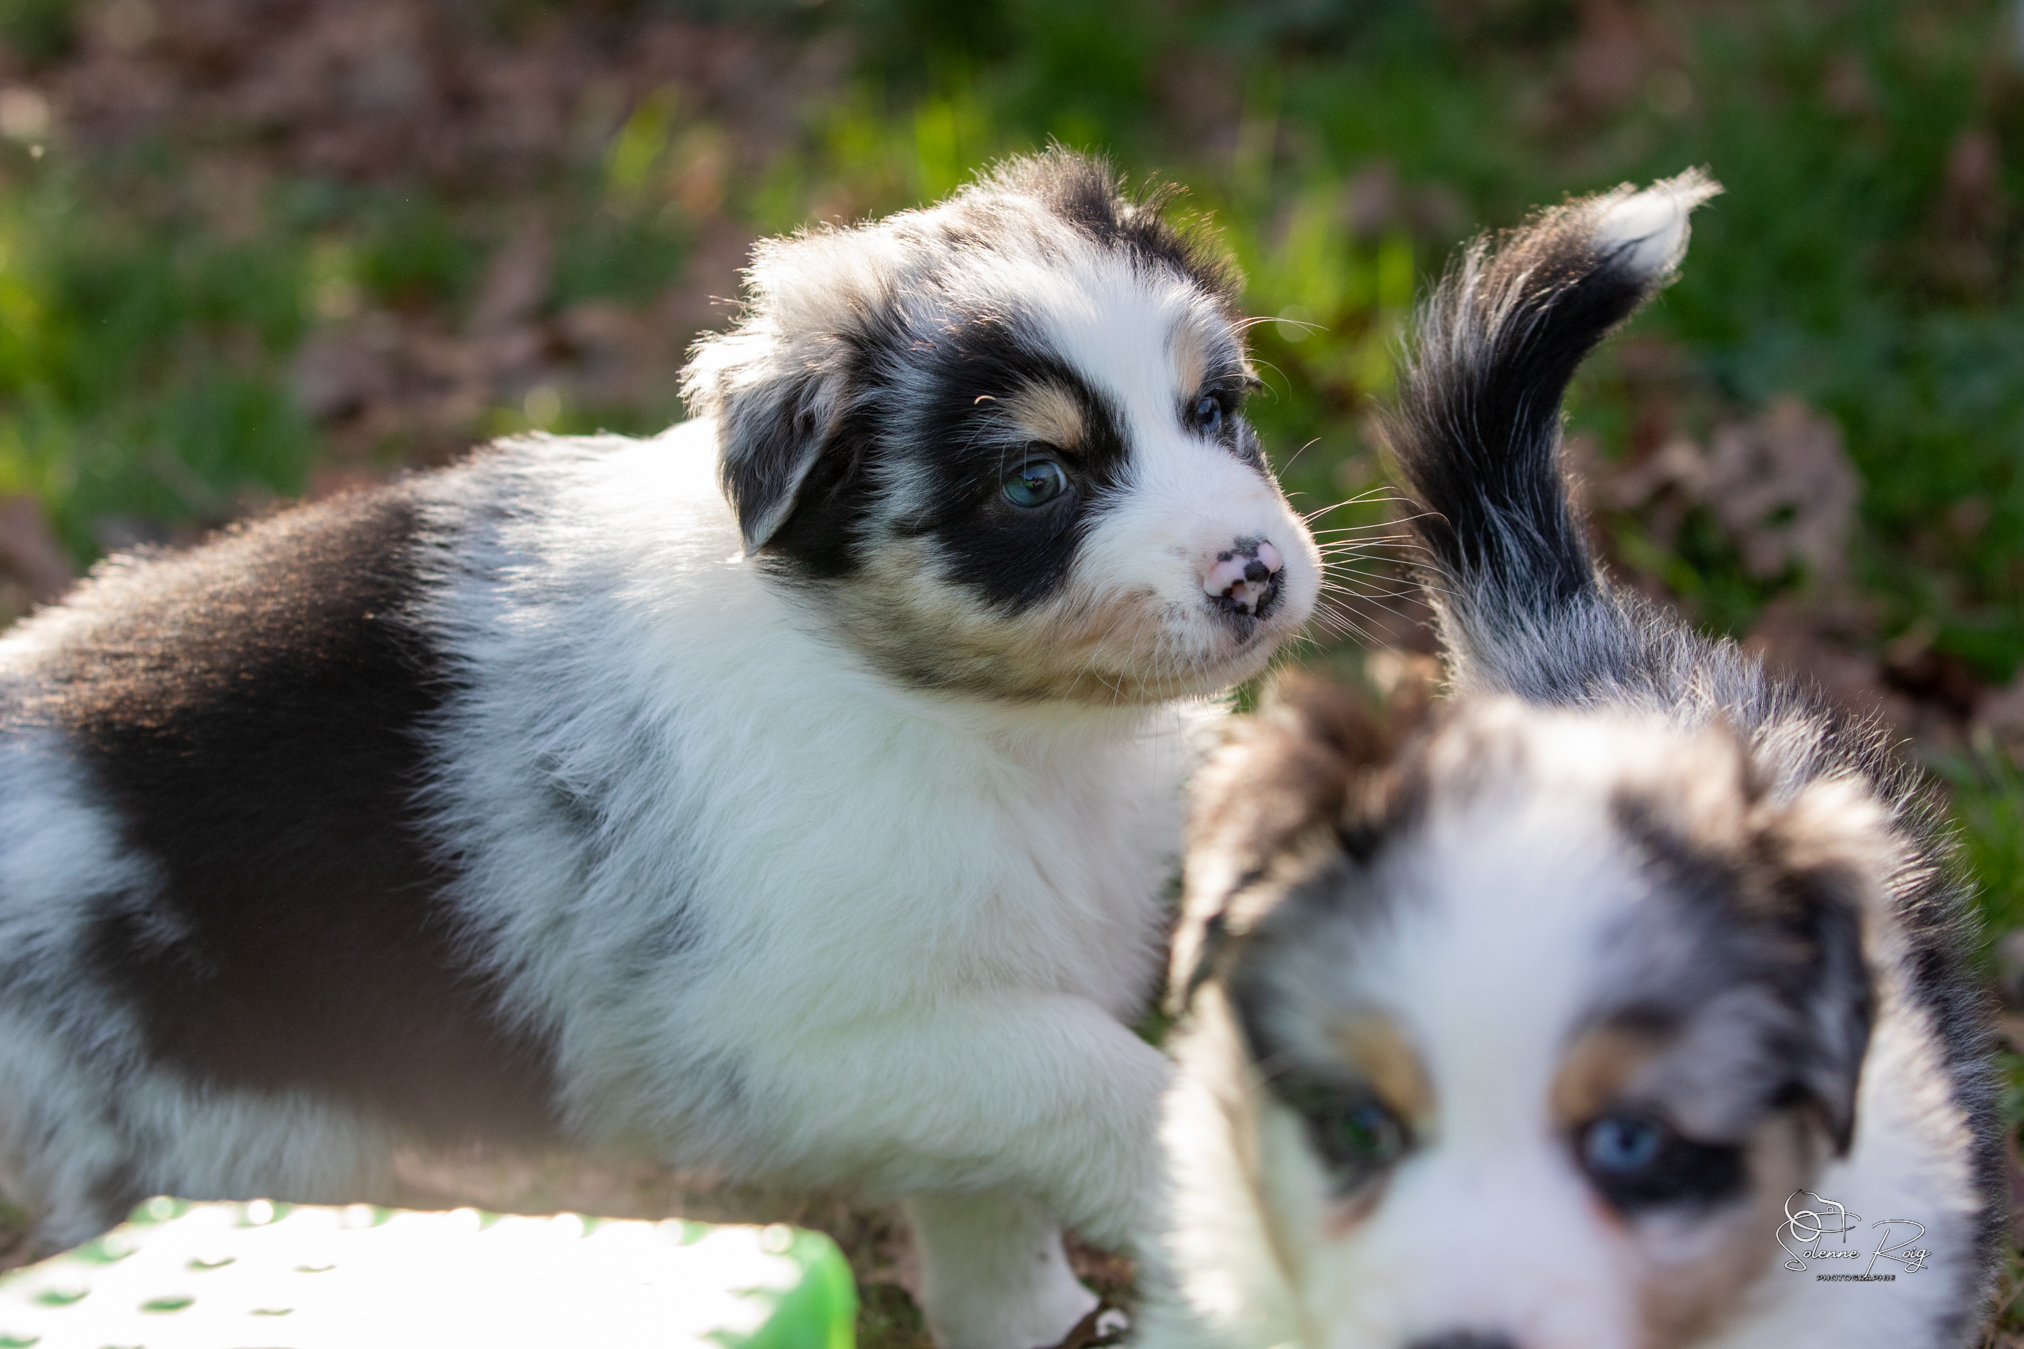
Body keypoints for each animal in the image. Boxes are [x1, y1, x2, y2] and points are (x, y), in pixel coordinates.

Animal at [0, 150, 1321, 1349]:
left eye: (1214, 410)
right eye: (1035, 480)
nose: (1254, 572)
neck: (968, 709)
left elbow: (990, 1204)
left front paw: (1040, 1319)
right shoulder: (810, 1033)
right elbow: (1103, 1091)